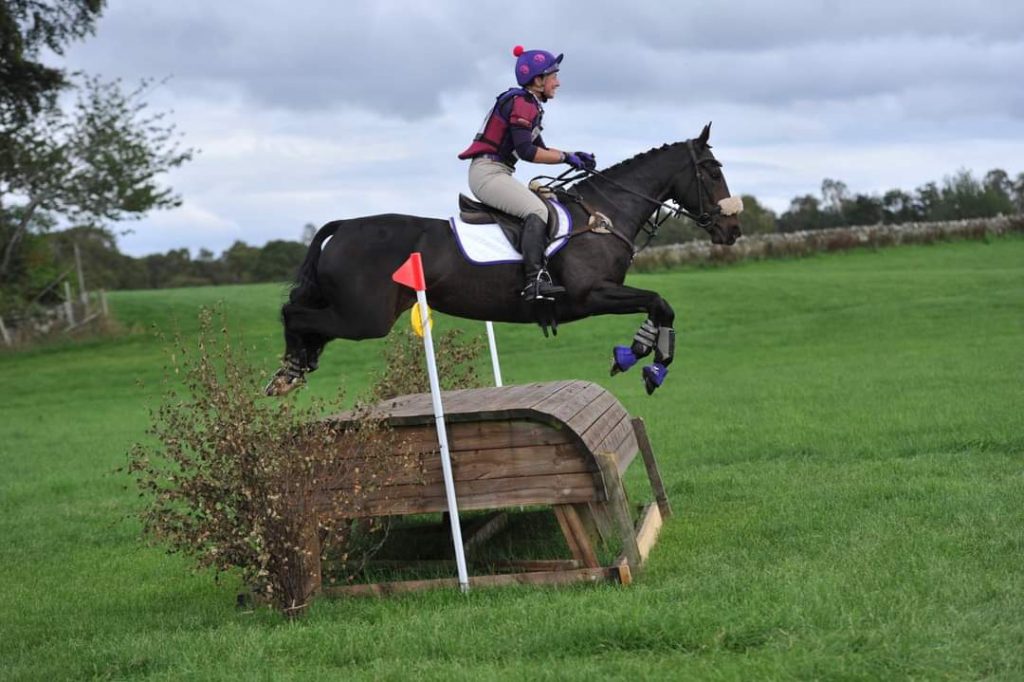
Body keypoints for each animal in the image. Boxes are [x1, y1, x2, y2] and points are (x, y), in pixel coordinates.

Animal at [268, 124, 741, 395]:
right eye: (712, 171)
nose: (733, 230)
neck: (603, 212)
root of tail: (344, 226)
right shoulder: (590, 295)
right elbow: (661, 302)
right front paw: (650, 364)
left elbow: (659, 306)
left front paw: (637, 353)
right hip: (366, 318)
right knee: (294, 313)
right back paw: (289, 370)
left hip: (361, 312)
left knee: (308, 321)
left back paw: (295, 369)